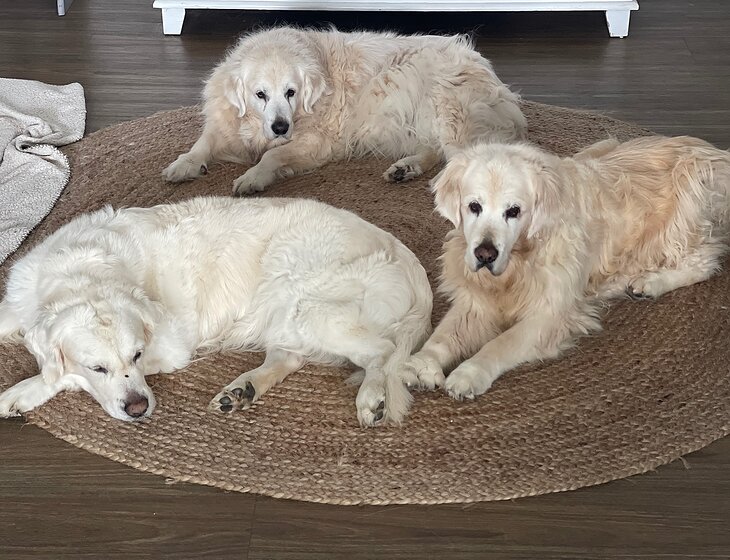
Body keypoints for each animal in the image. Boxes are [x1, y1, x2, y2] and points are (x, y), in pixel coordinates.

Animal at [0, 197, 432, 426]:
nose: (139, 409)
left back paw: (372, 397)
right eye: (98, 366)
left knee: (382, 352)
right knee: (289, 358)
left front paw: (22, 391)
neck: (79, 271)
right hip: (286, 316)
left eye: (137, 355)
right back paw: (241, 391)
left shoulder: (171, 347)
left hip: (306, 305)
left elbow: (63, 375)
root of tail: (411, 262)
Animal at [162, 26, 527, 195]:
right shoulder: (227, 124)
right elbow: (202, 143)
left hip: (449, 111)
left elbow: (272, 155)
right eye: (259, 95)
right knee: (435, 151)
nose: (280, 127)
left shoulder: (318, 143)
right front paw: (183, 165)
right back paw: (405, 169)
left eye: (291, 92)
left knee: (467, 158)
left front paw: (253, 177)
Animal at [402, 136, 730, 401]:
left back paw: (651, 282)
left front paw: (469, 373)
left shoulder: (550, 313)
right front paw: (422, 363)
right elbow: (445, 333)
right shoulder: (476, 301)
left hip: (687, 207)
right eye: (474, 206)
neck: (521, 261)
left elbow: (502, 343)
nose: (485, 254)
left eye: (513, 211)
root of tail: (715, 152)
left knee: (706, 260)